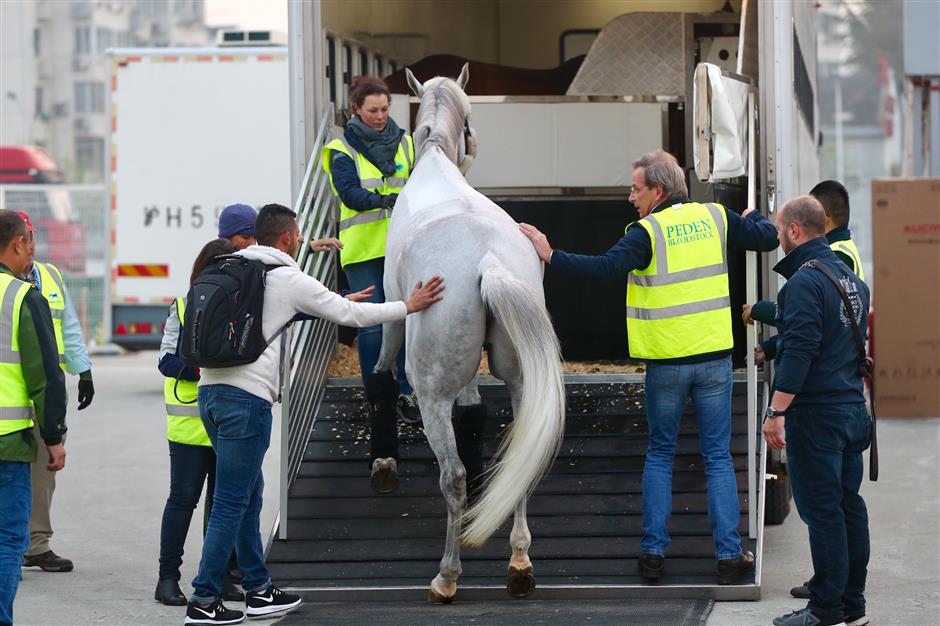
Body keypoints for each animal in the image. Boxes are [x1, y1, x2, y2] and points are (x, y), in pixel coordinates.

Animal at [372, 66, 564, 604]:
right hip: (522, 381)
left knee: (451, 475)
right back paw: (519, 562)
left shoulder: (393, 312)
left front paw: (384, 464)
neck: (436, 160)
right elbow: (475, 409)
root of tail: (488, 262)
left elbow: (381, 378)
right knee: (522, 453)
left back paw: (447, 575)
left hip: (431, 390)